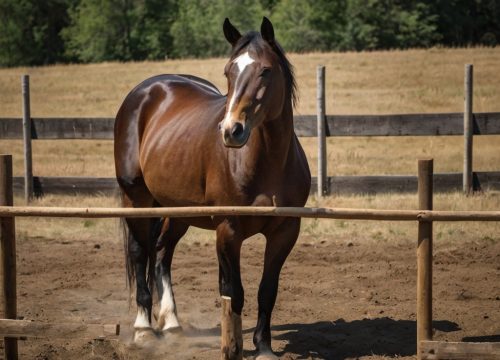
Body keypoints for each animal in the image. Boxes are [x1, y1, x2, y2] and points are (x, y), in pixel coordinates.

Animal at [114, 16, 310, 358]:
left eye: (266, 70)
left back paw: (172, 324)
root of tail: (146, 91)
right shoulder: (228, 231)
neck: (268, 163)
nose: (232, 130)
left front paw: (263, 346)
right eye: (229, 71)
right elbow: (234, 292)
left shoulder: (286, 231)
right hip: (136, 199)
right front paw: (234, 345)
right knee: (140, 253)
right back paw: (143, 329)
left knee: (162, 252)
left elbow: (266, 291)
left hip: (177, 210)